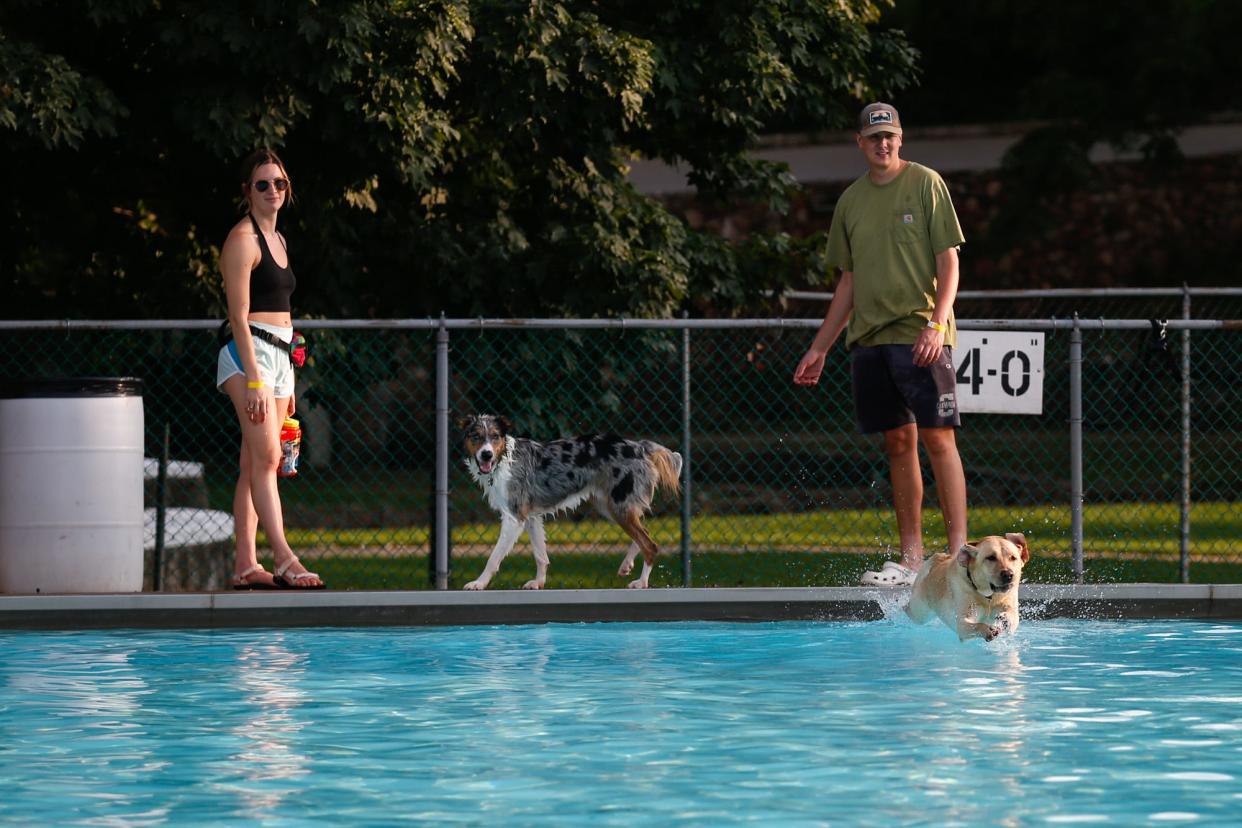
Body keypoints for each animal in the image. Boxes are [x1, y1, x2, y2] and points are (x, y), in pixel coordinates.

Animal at [462, 414, 685, 588]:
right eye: (476, 437)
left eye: (495, 437)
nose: (486, 454)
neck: (502, 460)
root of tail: (639, 446)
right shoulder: (531, 517)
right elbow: (541, 556)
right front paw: (539, 582)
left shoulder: (514, 518)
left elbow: (494, 557)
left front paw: (479, 583)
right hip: (611, 507)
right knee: (642, 534)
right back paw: (627, 565)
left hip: (619, 507)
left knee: (650, 545)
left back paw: (642, 582)